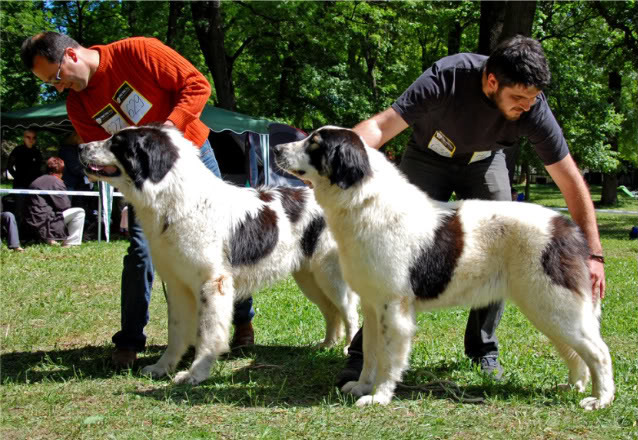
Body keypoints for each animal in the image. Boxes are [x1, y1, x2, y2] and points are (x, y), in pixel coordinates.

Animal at [78, 124, 360, 384]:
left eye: (117, 143)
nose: (79, 147)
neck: (180, 200)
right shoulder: (178, 285)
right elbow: (176, 331)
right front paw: (162, 367)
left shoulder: (212, 283)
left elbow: (207, 333)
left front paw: (196, 373)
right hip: (309, 278)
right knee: (331, 311)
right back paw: (327, 344)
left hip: (330, 275)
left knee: (349, 310)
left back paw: (347, 347)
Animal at [276, 126, 616, 410]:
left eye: (315, 144)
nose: (277, 148)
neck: (365, 202)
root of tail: (568, 227)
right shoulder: (373, 306)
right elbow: (370, 352)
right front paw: (361, 387)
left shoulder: (393, 308)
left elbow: (387, 358)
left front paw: (379, 397)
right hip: (549, 310)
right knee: (576, 352)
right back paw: (573, 386)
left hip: (554, 306)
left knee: (599, 351)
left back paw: (600, 400)